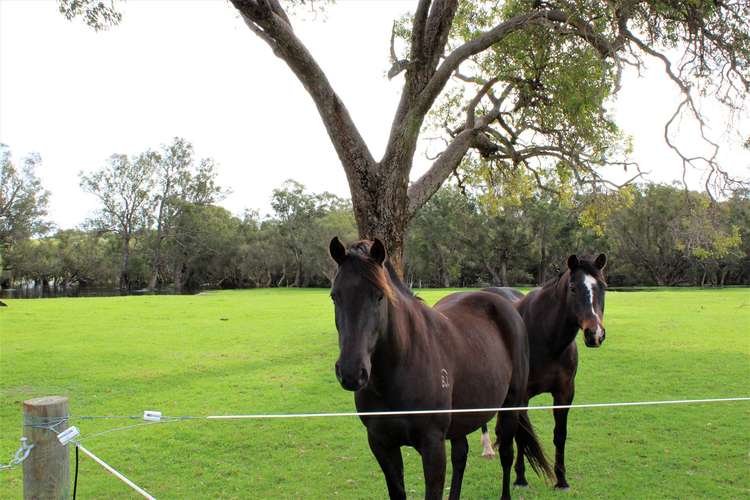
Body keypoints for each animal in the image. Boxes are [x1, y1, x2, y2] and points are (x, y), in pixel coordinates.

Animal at [328, 239, 552, 500]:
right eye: (334, 296)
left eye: (379, 296)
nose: (351, 372)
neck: (400, 369)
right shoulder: (382, 444)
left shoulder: (432, 446)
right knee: (461, 456)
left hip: (511, 408)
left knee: (506, 454)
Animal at [482, 254, 612, 488]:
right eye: (573, 288)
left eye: (603, 287)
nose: (595, 334)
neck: (545, 337)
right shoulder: (522, 396)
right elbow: (522, 435)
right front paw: (520, 477)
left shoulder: (565, 393)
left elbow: (560, 434)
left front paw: (561, 479)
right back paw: (487, 448)